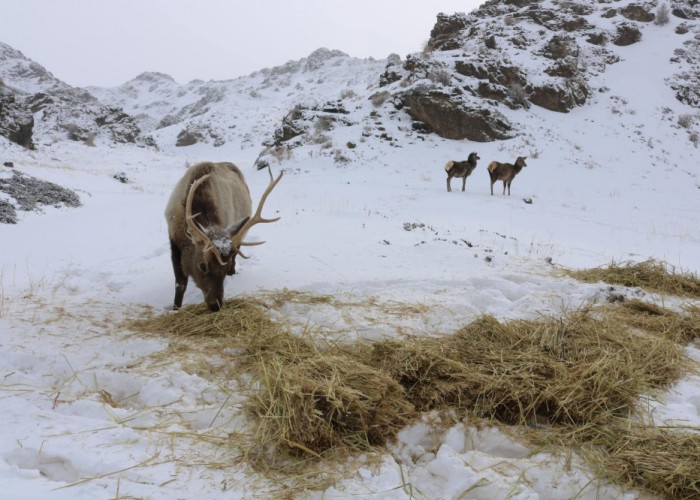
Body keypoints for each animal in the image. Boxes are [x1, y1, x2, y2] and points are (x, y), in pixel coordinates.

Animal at [165, 162, 284, 310]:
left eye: (224, 267)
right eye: (202, 266)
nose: (216, 305)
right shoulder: (173, 239)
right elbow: (180, 284)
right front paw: (175, 307)